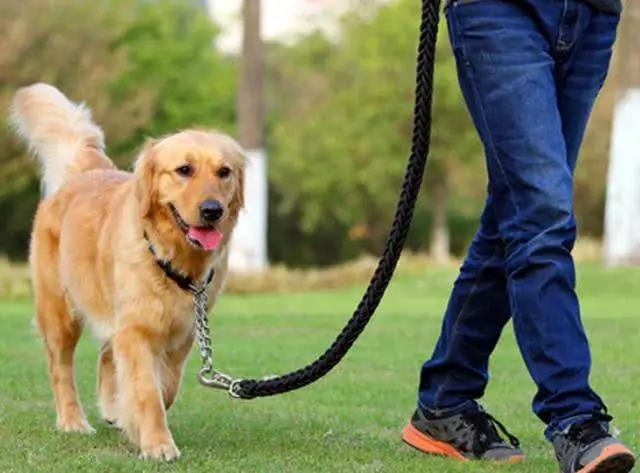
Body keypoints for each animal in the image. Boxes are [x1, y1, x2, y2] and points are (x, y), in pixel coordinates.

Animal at [10, 83, 245, 460]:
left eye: (224, 172)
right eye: (184, 170)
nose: (213, 210)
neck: (170, 258)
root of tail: (87, 170)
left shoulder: (184, 330)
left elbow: (166, 386)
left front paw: (126, 413)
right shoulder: (137, 328)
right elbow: (147, 390)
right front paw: (157, 443)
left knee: (107, 353)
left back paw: (110, 407)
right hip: (60, 312)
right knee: (60, 368)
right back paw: (73, 421)